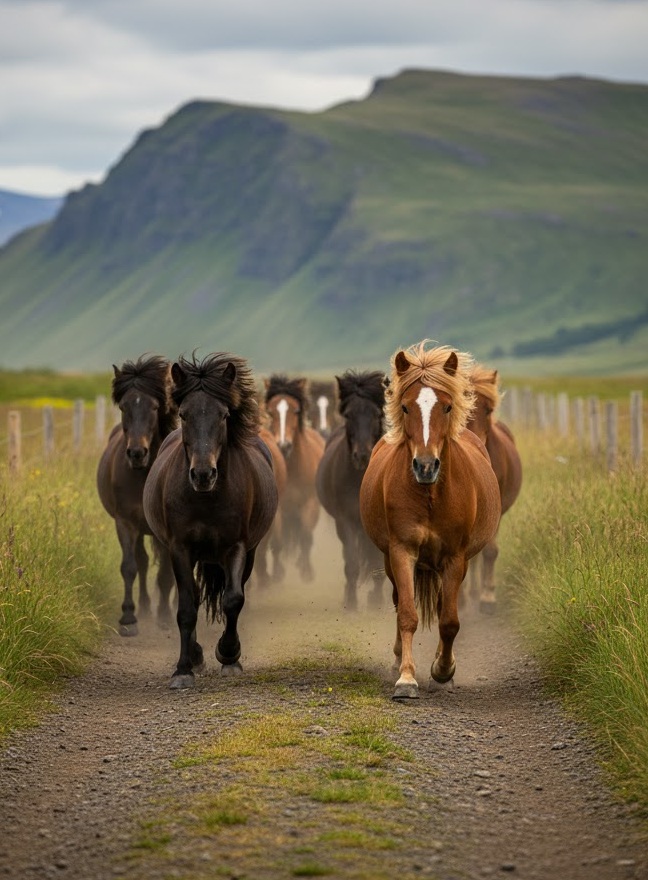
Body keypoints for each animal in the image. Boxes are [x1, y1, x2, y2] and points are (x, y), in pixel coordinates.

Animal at [96, 354, 178, 636]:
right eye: (123, 407)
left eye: (154, 407)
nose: (136, 453)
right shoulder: (126, 523)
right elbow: (130, 567)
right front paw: (129, 616)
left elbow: (165, 574)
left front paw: (165, 614)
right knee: (141, 562)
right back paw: (143, 606)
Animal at [142, 352, 279, 689]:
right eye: (184, 414)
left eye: (223, 415)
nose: (203, 474)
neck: (206, 499)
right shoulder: (179, 549)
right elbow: (186, 608)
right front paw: (183, 669)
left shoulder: (237, 547)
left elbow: (233, 600)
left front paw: (229, 655)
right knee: (190, 596)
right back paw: (194, 655)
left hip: (250, 553)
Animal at [264, 375, 326, 581]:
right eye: (270, 411)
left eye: (296, 410)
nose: (284, 446)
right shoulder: (279, 509)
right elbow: (277, 541)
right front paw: (277, 573)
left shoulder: (310, 503)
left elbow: (306, 536)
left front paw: (307, 572)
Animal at [316, 370, 387, 609]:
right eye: (348, 415)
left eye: (376, 414)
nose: (362, 456)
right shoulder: (345, 521)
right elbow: (352, 562)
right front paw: (352, 603)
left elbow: (376, 560)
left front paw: (376, 600)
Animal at [359, 341, 501, 700]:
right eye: (405, 408)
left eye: (448, 407)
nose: (425, 466)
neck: (430, 496)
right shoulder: (401, 552)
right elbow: (407, 614)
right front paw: (406, 678)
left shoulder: (455, 558)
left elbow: (449, 620)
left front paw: (443, 669)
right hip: (392, 561)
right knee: (400, 602)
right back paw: (399, 660)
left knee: (441, 608)